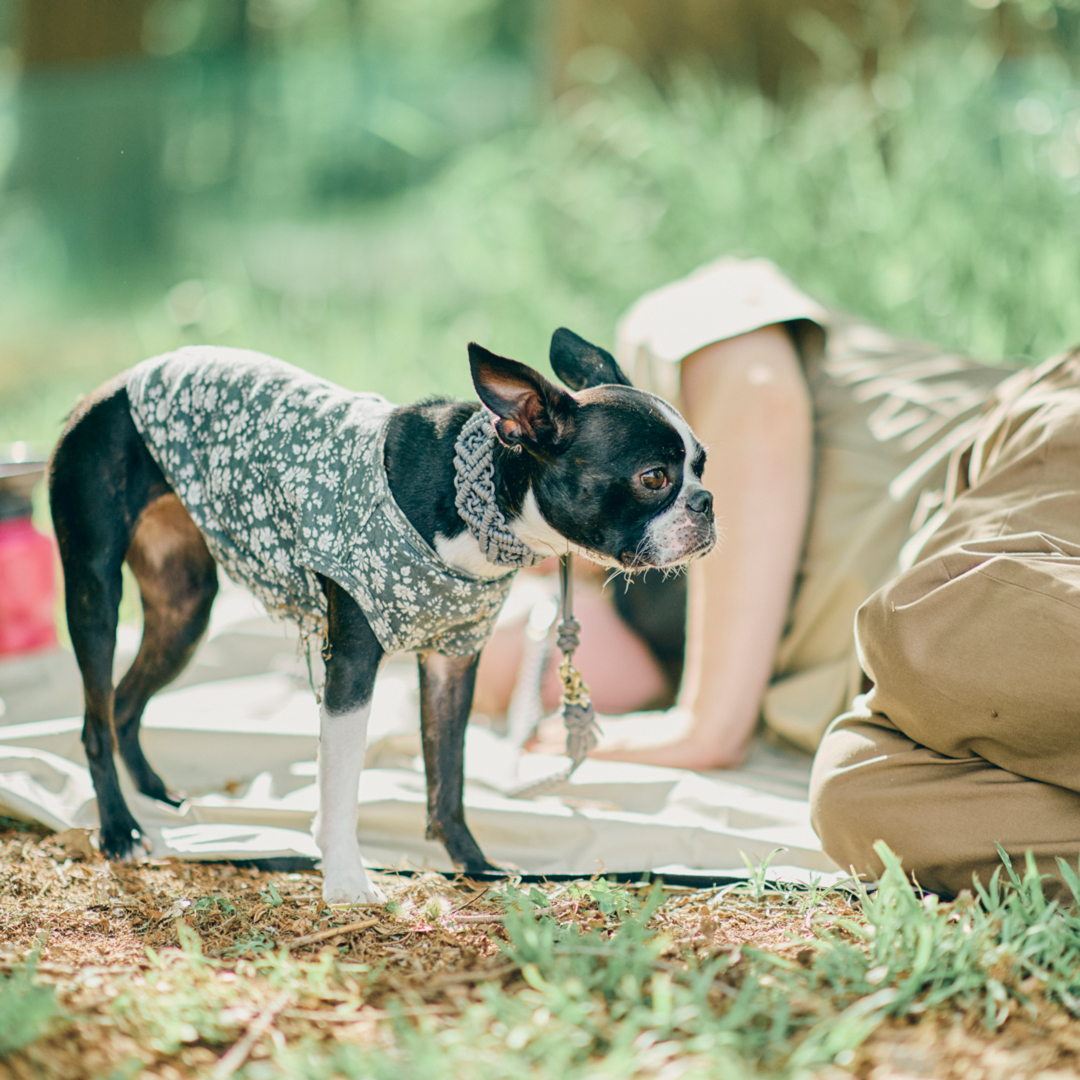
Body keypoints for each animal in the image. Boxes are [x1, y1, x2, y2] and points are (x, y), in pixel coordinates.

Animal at [50, 328, 712, 902]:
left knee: (124, 703)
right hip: (95, 591)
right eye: (654, 478)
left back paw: (157, 796)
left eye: (703, 465)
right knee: (94, 716)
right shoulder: (352, 664)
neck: (473, 494)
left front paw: (474, 867)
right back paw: (118, 828)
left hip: (184, 606)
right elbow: (341, 785)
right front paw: (346, 881)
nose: (706, 503)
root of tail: (109, 387)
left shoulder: (452, 661)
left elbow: (448, 777)